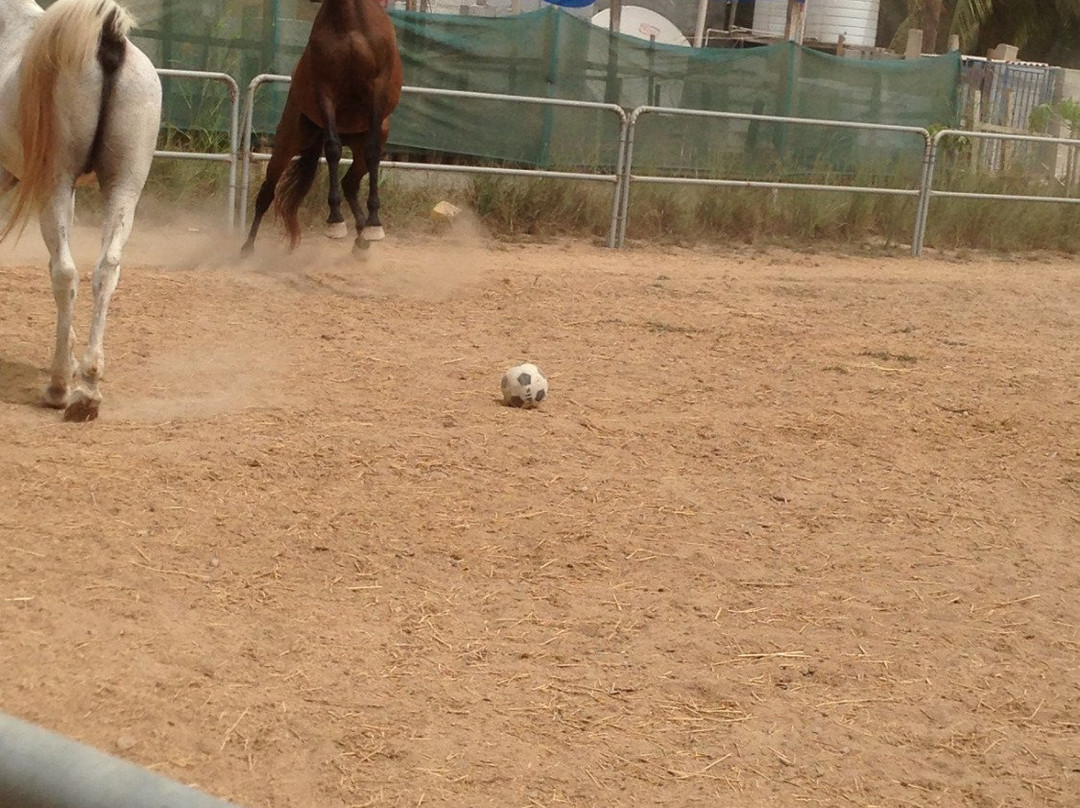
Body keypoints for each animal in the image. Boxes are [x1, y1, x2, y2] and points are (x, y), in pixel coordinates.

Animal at [0, 0, 162, 422]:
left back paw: (59, 387)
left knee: (65, 272)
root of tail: (107, 38)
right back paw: (87, 387)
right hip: (123, 188)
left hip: (56, 182)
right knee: (105, 270)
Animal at [241, 0, 403, 256]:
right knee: (267, 192)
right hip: (287, 142)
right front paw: (335, 221)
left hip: (361, 144)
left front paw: (374, 224)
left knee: (350, 182)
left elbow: (373, 152)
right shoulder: (326, 93)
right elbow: (333, 150)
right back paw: (246, 247)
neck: (350, 25)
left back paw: (362, 237)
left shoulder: (379, 91)